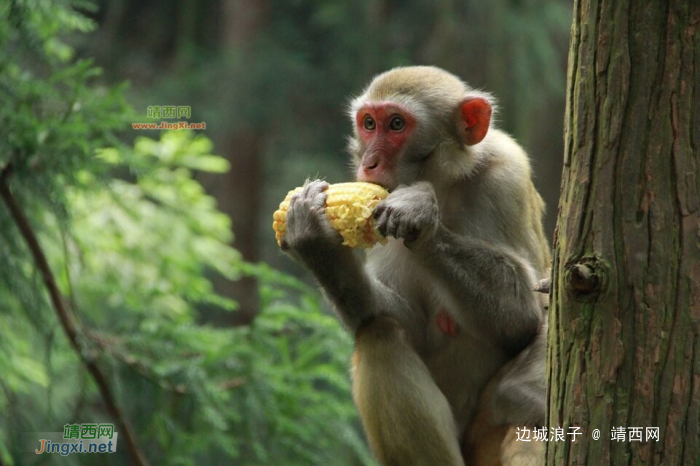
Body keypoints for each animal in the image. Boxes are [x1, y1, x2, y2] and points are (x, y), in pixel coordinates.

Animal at [282, 66, 548, 466]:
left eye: (396, 124)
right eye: (369, 123)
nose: (369, 164)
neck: (445, 182)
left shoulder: (507, 178)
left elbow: (526, 319)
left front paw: (422, 215)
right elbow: (411, 326)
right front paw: (317, 244)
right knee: (381, 335)